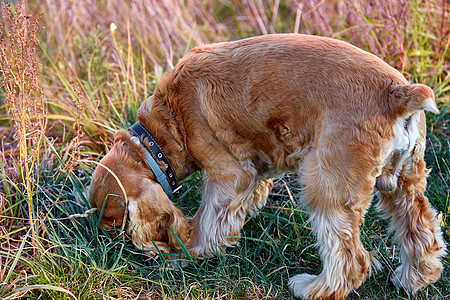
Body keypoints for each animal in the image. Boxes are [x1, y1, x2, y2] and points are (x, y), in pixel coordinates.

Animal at [89, 34, 444, 298]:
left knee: (350, 260)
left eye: (114, 222)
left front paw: (189, 253)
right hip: (403, 180)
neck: (164, 129)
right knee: (422, 230)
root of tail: (398, 93)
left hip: (326, 184)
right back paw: (413, 279)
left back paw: (311, 288)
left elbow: (207, 221)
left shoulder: (227, 176)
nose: (110, 246)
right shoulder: (255, 173)